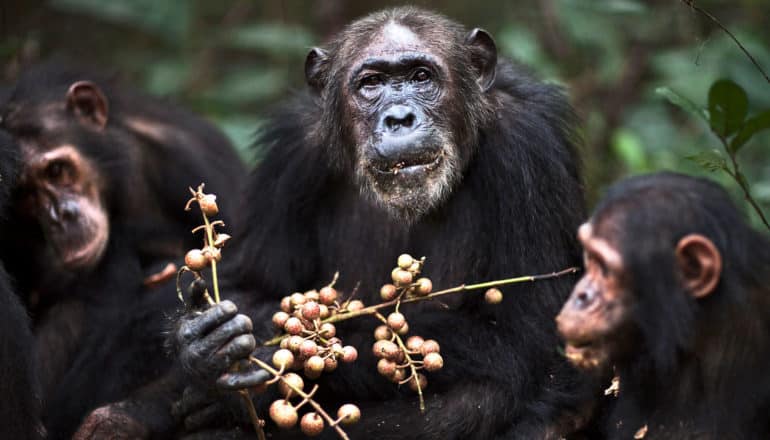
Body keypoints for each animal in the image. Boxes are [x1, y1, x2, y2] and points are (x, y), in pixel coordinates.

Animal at [174, 6, 592, 440]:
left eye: (421, 76)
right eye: (371, 83)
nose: (399, 118)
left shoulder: (529, 147)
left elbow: (521, 333)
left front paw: (258, 360)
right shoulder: (290, 152)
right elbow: (252, 284)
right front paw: (206, 342)